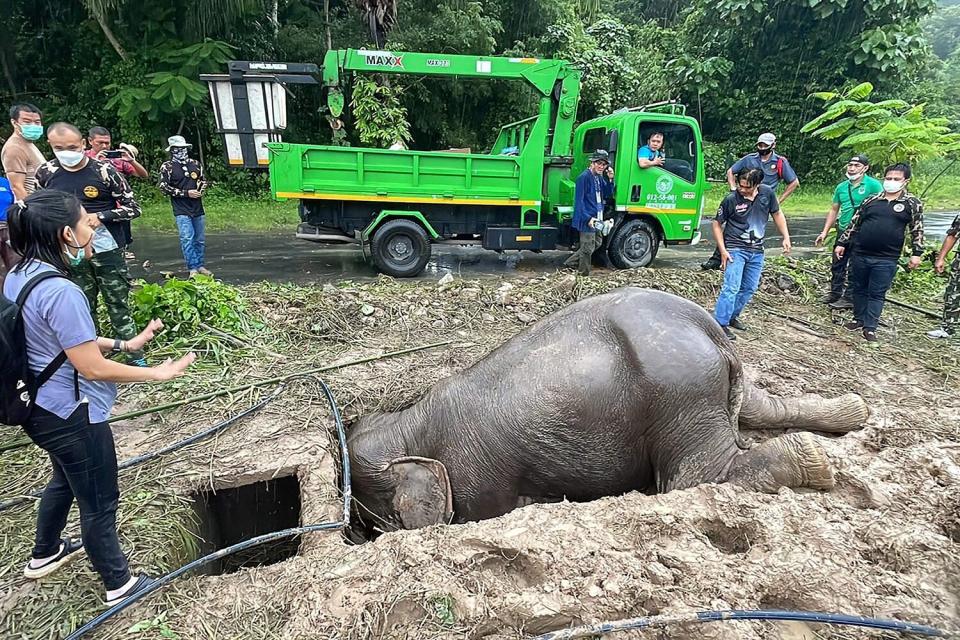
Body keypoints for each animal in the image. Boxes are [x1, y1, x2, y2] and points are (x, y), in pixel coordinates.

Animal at [346, 288, 872, 532]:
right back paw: (855, 412)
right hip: (710, 386)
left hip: (680, 396)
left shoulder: (479, 480)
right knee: (764, 408)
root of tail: (710, 328)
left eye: (378, 521)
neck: (409, 422)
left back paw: (815, 461)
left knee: (695, 477)